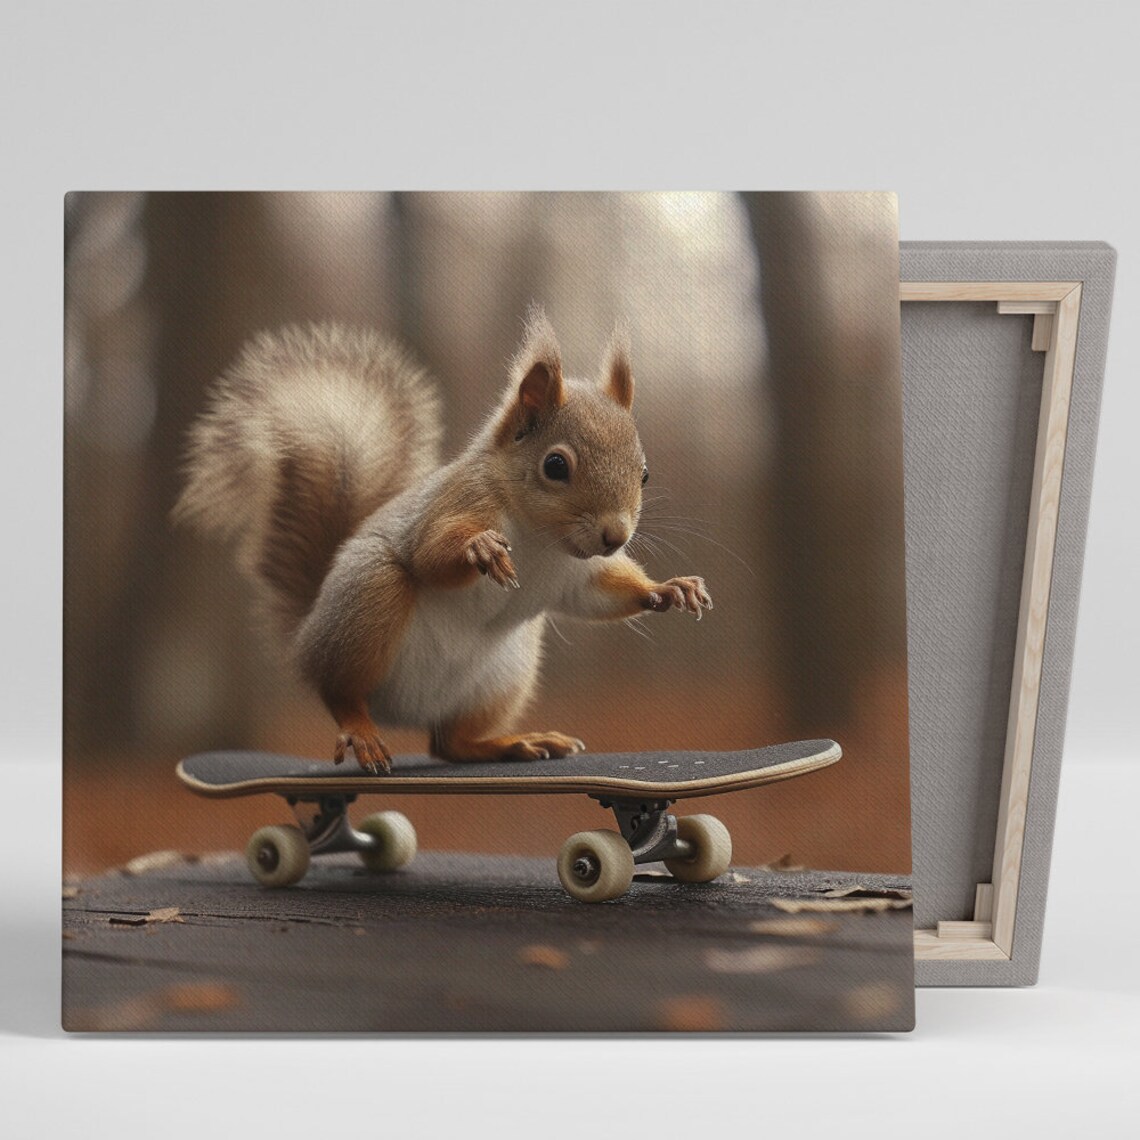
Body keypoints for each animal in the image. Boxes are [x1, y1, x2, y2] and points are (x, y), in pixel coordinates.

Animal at [174, 308, 713, 774]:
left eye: (644, 473)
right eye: (555, 465)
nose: (615, 535)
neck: (542, 539)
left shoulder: (579, 574)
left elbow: (597, 595)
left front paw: (668, 589)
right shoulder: (459, 503)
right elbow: (430, 553)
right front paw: (480, 550)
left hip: (504, 674)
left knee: (449, 743)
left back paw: (512, 742)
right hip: (368, 599)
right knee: (339, 688)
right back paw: (360, 728)